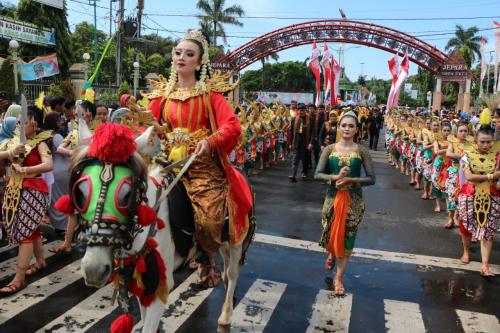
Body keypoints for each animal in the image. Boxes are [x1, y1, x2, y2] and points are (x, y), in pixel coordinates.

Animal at [75, 123, 248, 330]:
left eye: (127, 194)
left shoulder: (161, 283)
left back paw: (226, 314)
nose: (94, 269)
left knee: (232, 272)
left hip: (236, 235)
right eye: (81, 192)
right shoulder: (141, 279)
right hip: (221, 238)